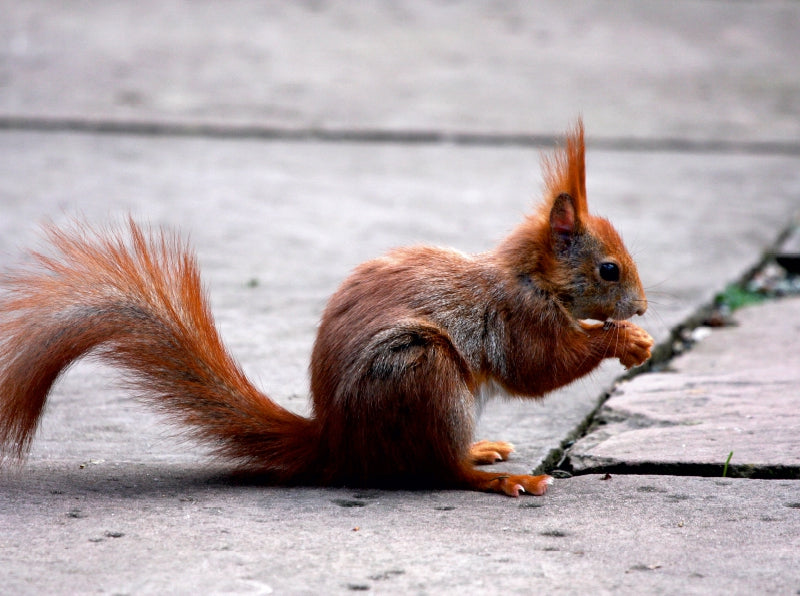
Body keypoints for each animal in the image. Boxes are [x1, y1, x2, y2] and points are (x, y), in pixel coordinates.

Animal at [0, 118, 648, 496]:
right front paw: (623, 341)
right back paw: (496, 478)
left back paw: (482, 449)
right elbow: (540, 366)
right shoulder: (515, 317)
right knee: (440, 471)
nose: (641, 309)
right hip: (423, 375)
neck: (529, 277)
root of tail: (338, 443)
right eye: (608, 269)